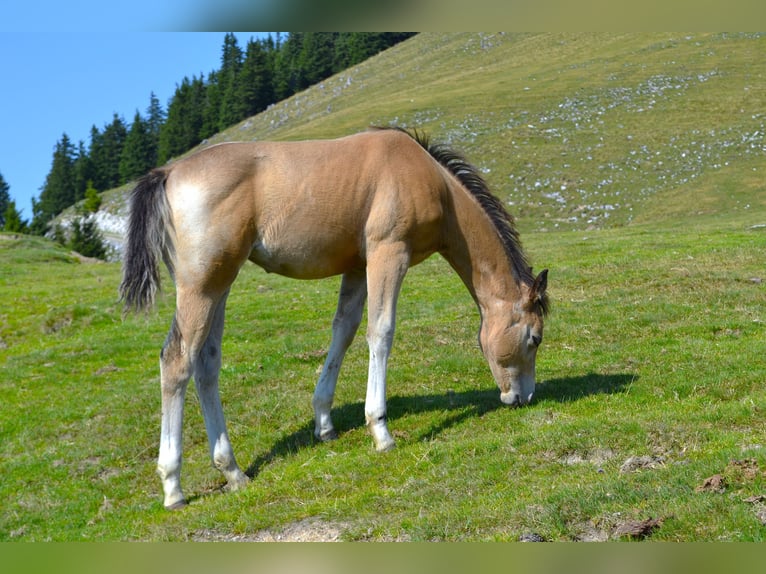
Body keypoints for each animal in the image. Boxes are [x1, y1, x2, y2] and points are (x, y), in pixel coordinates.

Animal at [120, 127, 549, 509]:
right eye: (535, 338)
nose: (524, 397)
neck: (432, 181)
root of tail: (169, 173)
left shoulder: (357, 266)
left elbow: (344, 331)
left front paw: (324, 422)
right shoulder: (388, 253)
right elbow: (381, 331)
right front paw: (380, 430)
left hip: (219, 287)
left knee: (206, 364)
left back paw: (233, 471)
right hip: (201, 288)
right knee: (177, 362)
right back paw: (173, 486)